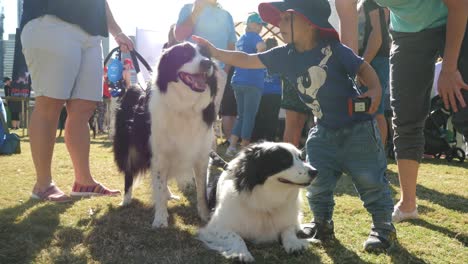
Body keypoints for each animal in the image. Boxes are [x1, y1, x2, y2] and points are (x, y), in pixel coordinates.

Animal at [112, 42, 224, 228]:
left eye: (206, 54)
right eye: (185, 54)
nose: (207, 63)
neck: (185, 106)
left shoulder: (201, 156)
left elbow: (201, 191)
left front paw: (205, 216)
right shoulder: (158, 153)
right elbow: (158, 184)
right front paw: (160, 219)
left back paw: (168, 193)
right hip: (128, 148)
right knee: (129, 172)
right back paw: (126, 199)